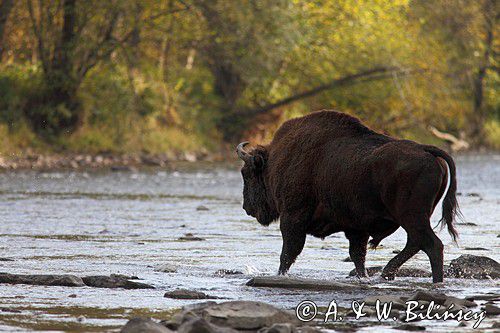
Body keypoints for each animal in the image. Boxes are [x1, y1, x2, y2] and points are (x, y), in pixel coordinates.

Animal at [236, 110, 458, 282]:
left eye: (247, 174)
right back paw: (387, 273)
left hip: (412, 218)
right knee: (416, 243)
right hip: (414, 219)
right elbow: (358, 256)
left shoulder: (292, 219)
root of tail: (426, 149)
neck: (275, 162)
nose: (247, 207)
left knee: (431, 245)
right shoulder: (356, 229)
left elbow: (288, 253)